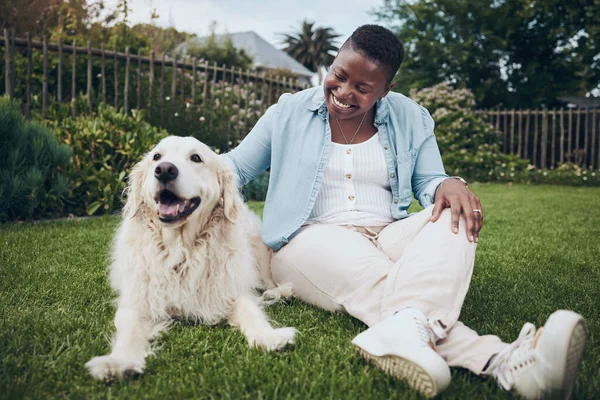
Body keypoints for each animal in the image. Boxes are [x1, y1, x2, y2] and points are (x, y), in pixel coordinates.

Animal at [85, 135, 296, 382]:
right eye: (157, 156)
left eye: (196, 158)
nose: (164, 170)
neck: (180, 248)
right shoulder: (138, 299)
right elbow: (130, 330)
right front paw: (120, 361)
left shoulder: (231, 291)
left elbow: (250, 311)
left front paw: (268, 336)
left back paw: (281, 292)